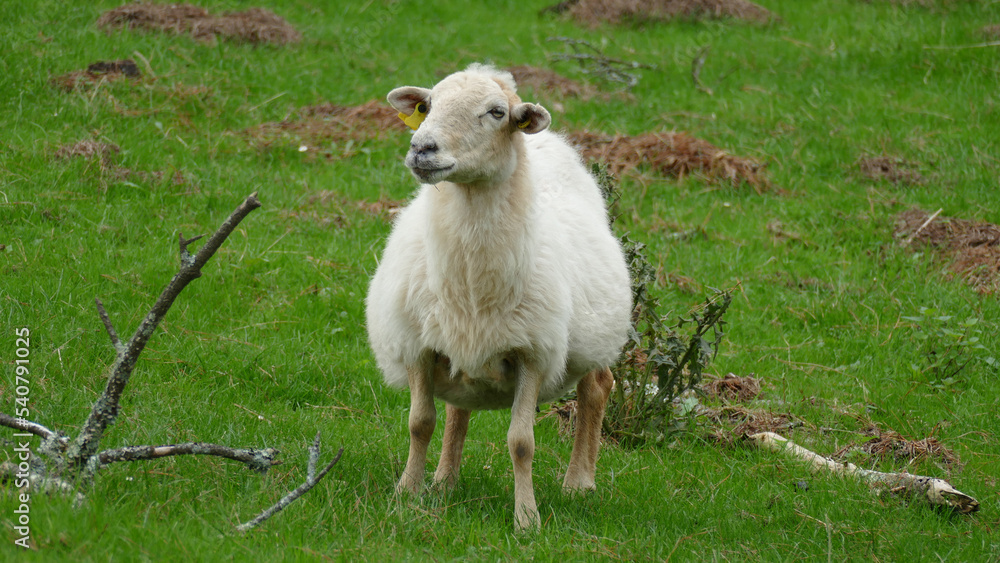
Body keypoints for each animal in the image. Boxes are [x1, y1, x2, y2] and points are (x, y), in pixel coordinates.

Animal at [365, 63, 631, 530]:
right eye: (427, 106)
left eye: (495, 112)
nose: (421, 148)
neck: (471, 284)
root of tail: (547, 140)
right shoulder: (417, 344)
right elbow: (420, 423)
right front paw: (407, 493)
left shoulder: (533, 353)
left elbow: (521, 442)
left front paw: (527, 518)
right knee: (457, 408)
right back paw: (444, 481)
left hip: (593, 335)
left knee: (598, 387)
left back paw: (579, 482)